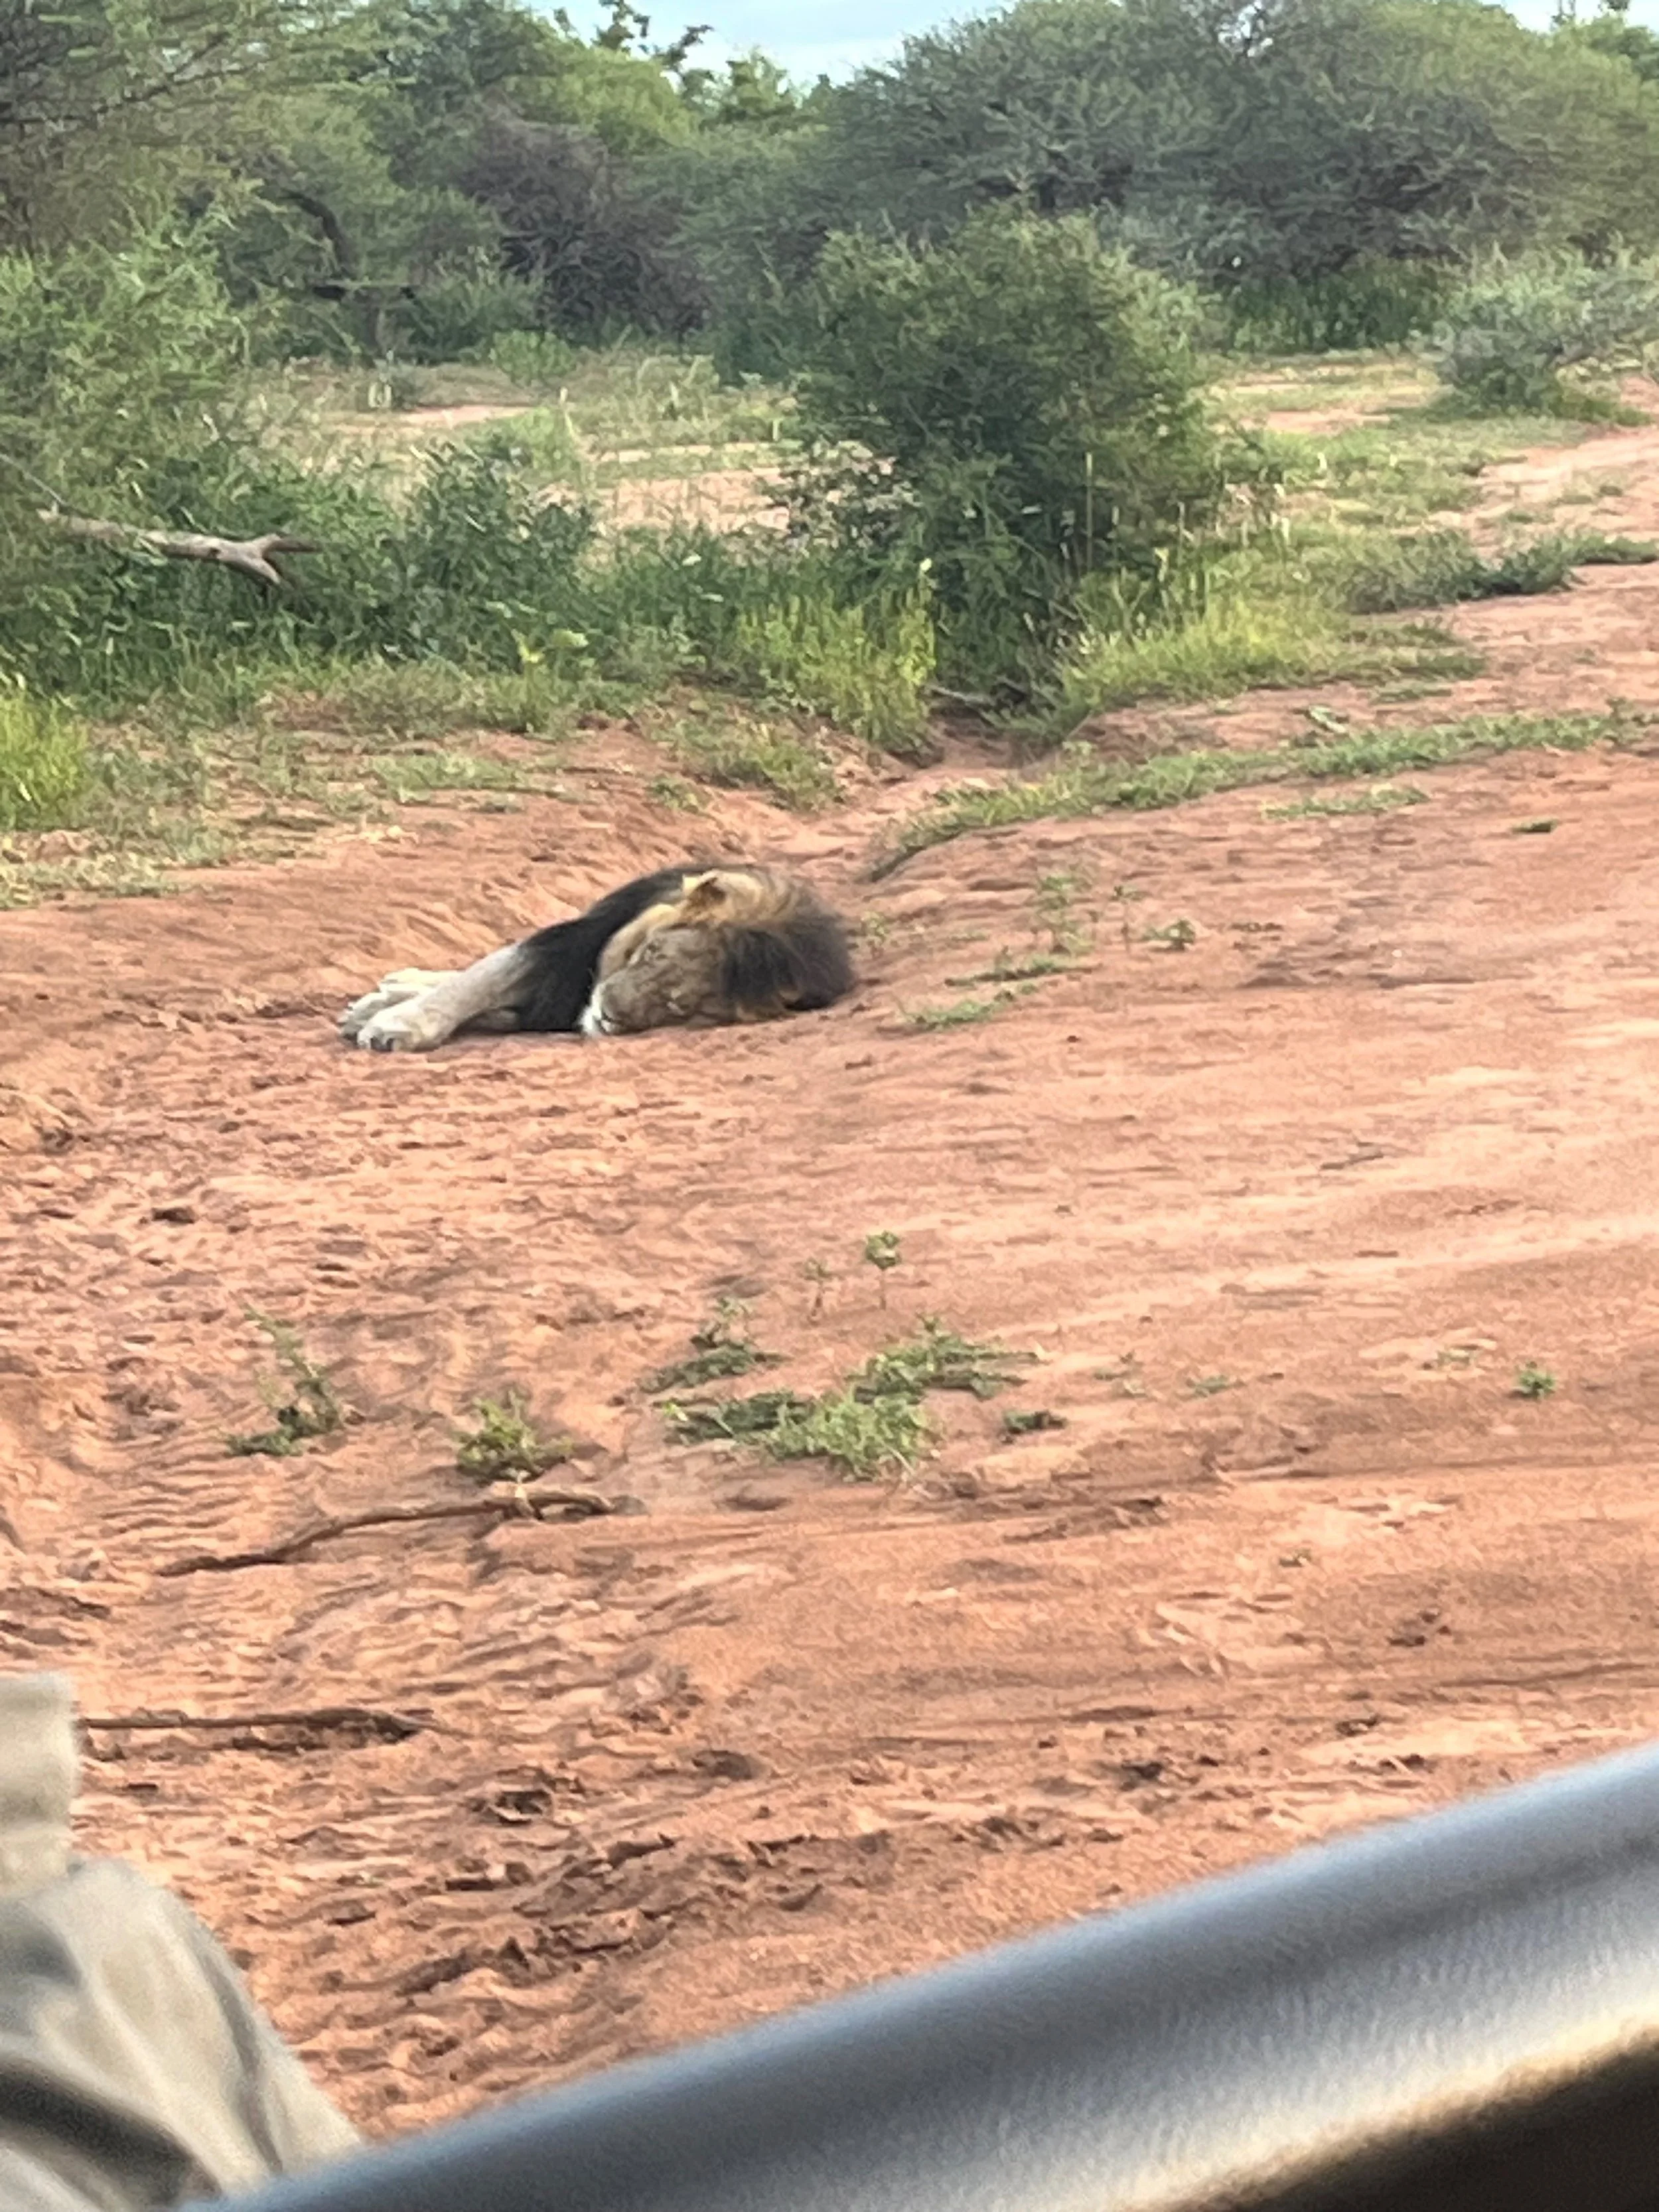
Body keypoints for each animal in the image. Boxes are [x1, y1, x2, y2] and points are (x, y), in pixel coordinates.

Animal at [338, 864, 854, 1053]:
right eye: (651, 952)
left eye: (677, 1006)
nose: (608, 1014)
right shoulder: (567, 946)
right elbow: (478, 981)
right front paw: (395, 1025)